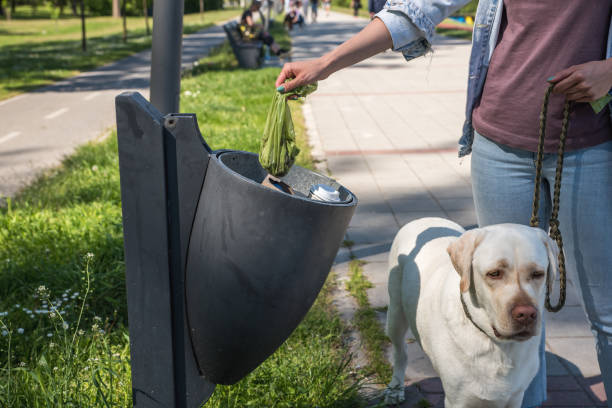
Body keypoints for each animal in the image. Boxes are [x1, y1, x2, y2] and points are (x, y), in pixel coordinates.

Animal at [384, 218, 556, 408]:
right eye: (494, 273)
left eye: (538, 274)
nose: (526, 314)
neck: (497, 346)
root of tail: (424, 219)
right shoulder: (458, 400)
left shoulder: (515, 397)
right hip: (395, 314)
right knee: (400, 351)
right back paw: (395, 388)